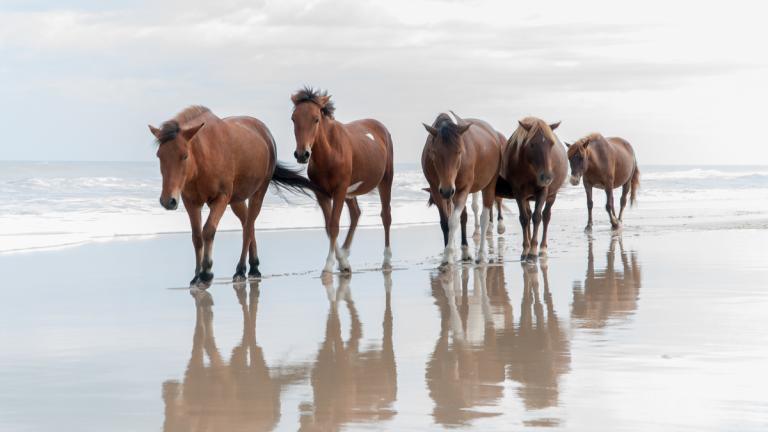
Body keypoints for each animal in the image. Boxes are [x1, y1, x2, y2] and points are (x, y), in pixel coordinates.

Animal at [149, 106, 322, 285]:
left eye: (184, 155)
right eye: (159, 155)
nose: (167, 201)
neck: (203, 159)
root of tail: (265, 132)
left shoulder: (221, 198)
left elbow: (208, 230)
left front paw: (206, 272)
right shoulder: (191, 202)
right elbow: (196, 237)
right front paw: (197, 275)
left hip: (258, 193)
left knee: (248, 228)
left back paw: (241, 269)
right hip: (237, 200)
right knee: (247, 223)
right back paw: (254, 266)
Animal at [290, 87, 394, 273]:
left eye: (316, 119)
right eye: (293, 118)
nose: (302, 154)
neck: (330, 153)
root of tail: (382, 128)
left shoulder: (339, 190)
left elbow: (334, 225)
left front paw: (328, 266)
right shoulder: (321, 193)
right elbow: (328, 226)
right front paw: (342, 263)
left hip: (385, 180)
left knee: (386, 216)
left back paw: (387, 260)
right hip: (349, 192)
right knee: (355, 213)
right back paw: (345, 254)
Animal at [421, 112, 505, 265]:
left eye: (459, 152)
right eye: (434, 152)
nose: (447, 190)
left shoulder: (462, 190)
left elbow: (454, 221)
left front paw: (449, 253)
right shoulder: (437, 190)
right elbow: (446, 222)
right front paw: (450, 252)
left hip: (490, 184)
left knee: (485, 217)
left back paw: (482, 254)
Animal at [498, 117, 567, 261]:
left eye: (551, 144)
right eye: (532, 144)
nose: (546, 177)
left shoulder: (543, 191)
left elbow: (537, 217)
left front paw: (533, 250)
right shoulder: (518, 193)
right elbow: (524, 218)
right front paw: (526, 248)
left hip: (551, 196)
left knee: (546, 216)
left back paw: (543, 248)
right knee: (529, 215)